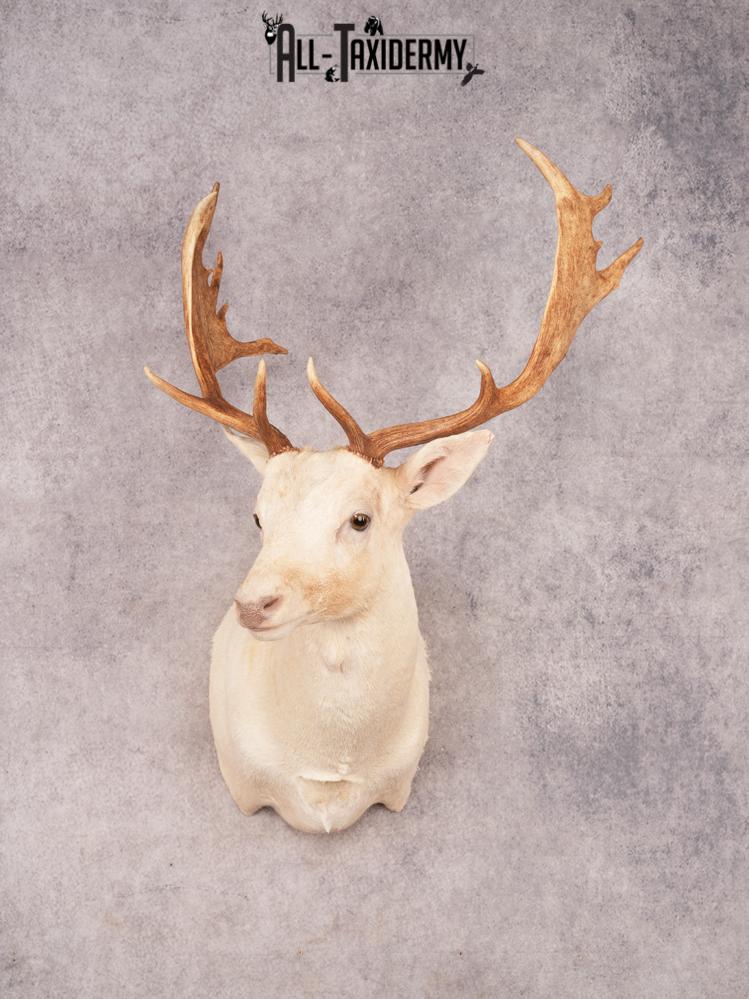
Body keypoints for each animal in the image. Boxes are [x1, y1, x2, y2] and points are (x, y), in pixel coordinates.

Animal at [145, 139, 642, 834]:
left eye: (360, 518)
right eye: (259, 516)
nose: (253, 604)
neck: (328, 775)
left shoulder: (401, 783)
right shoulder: (243, 786)